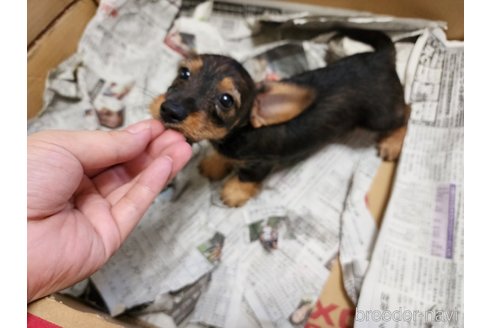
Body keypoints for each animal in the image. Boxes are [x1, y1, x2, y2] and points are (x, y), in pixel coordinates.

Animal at [152, 28, 410, 208]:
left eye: (226, 100)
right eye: (184, 73)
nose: (170, 110)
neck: (240, 134)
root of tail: (381, 57)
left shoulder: (260, 164)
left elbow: (246, 177)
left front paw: (234, 193)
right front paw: (215, 163)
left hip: (380, 116)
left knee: (406, 112)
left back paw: (392, 143)